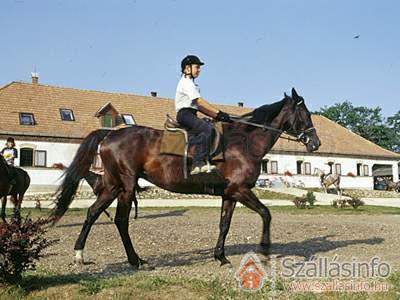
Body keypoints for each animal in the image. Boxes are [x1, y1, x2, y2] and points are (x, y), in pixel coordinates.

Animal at [50, 88, 322, 268]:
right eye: (305, 114)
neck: (243, 143)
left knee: (93, 212)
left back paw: (79, 255)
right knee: (120, 221)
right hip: (125, 186)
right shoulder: (241, 189)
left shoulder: (230, 194)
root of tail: (108, 134)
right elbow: (266, 213)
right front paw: (265, 252)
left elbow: (224, 225)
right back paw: (136, 260)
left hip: (112, 186)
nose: (315, 143)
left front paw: (220, 256)